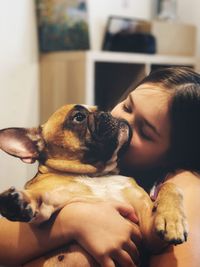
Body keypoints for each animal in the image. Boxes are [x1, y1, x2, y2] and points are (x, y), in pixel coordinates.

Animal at [0, 105, 188, 266]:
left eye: (98, 108)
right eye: (79, 117)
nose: (106, 112)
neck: (96, 174)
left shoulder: (149, 235)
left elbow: (169, 186)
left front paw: (172, 218)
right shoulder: (52, 199)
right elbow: (40, 195)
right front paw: (21, 200)